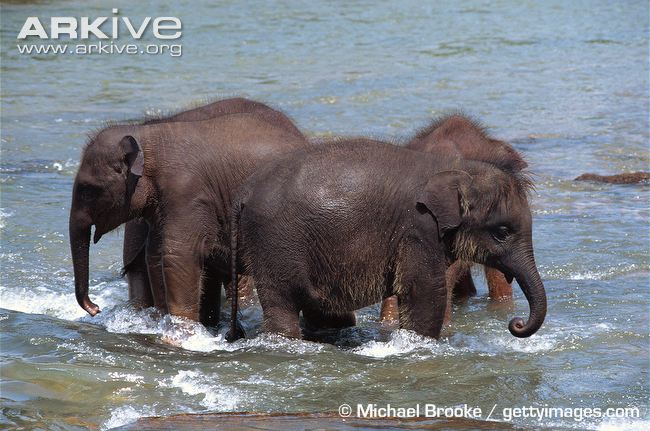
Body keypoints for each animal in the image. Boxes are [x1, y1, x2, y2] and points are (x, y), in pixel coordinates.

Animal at [69, 112, 309, 325]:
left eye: (87, 190)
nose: (96, 308)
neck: (147, 136)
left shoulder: (187, 193)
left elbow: (178, 255)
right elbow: (155, 254)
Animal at [226, 139, 546, 341]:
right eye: (502, 232)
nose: (516, 323)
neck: (456, 168)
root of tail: (243, 193)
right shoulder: (418, 228)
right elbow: (425, 291)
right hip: (274, 243)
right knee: (282, 305)